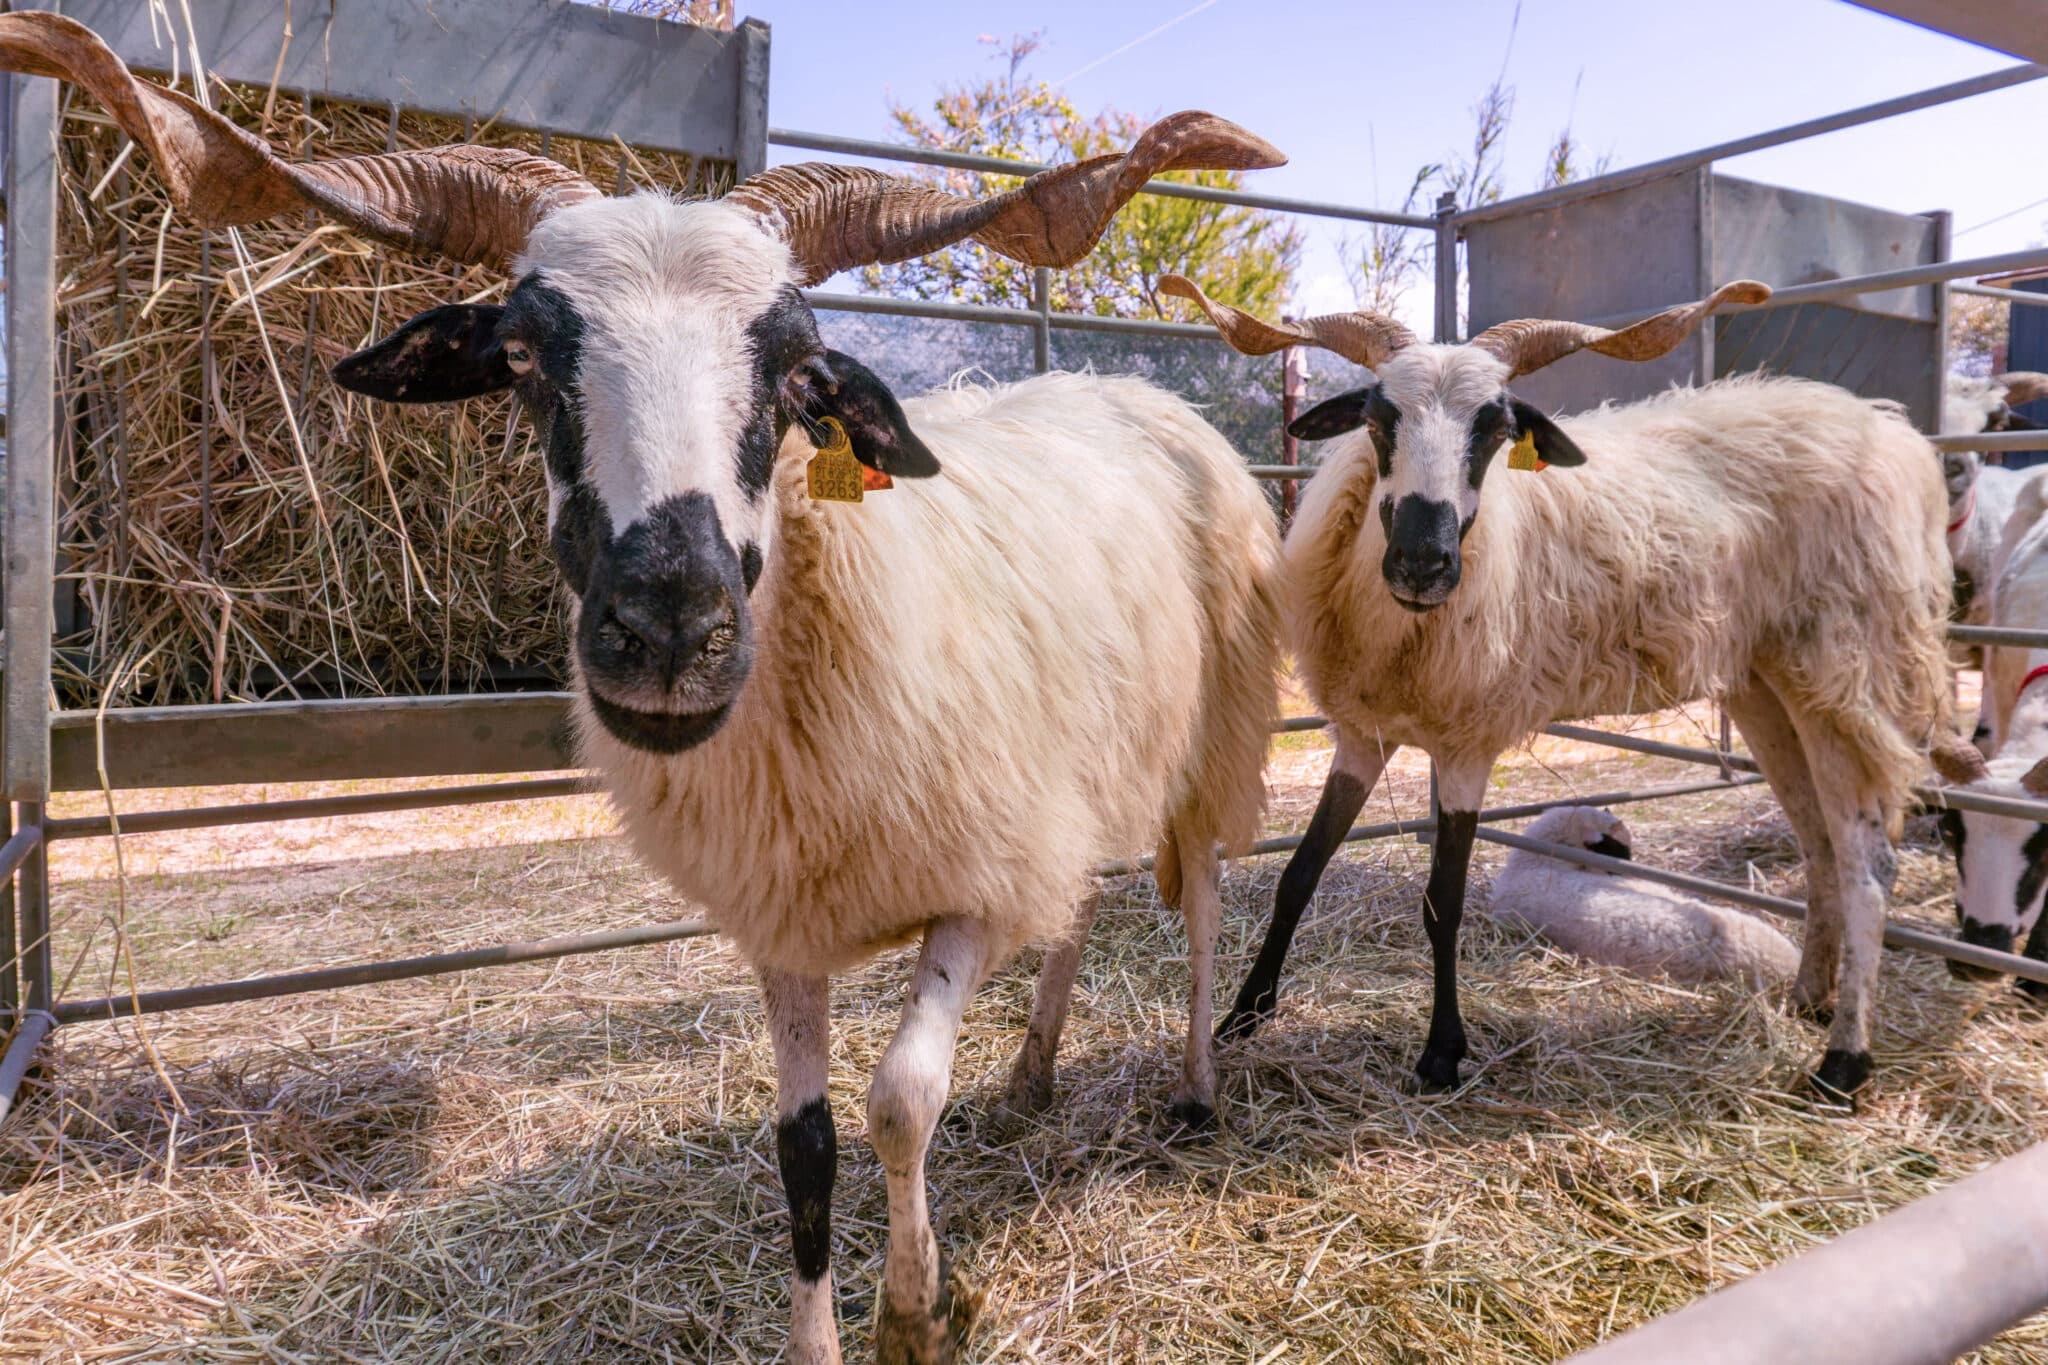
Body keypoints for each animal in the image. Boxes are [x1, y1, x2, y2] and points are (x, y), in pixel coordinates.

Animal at [0, 17, 1287, 1361]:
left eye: (795, 372)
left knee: (1200, 906)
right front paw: (823, 1334)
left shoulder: (974, 883)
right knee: (1076, 906)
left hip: (1212, 739)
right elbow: (807, 1148)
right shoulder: (789, 914)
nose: (668, 630)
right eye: (520, 354)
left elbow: (899, 1101)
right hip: (1086, 769)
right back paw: (1033, 1077)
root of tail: (1128, 389)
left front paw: (919, 1310)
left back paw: (1196, 1090)